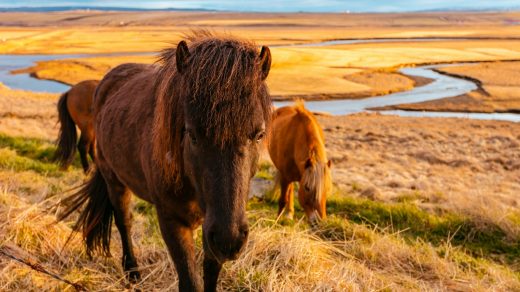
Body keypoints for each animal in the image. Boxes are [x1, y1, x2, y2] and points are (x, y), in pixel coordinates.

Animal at [60, 32, 272, 292]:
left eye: (259, 134)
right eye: (191, 134)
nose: (229, 239)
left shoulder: (212, 227)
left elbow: (210, 275)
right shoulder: (173, 221)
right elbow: (190, 281)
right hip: (115, 181)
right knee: (124, 222)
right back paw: (132, 272)